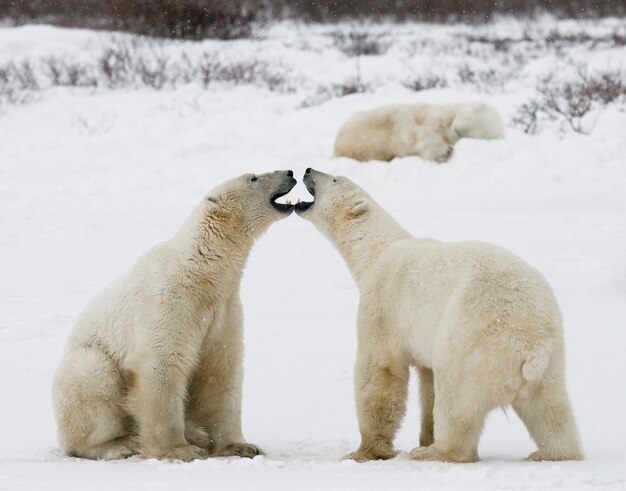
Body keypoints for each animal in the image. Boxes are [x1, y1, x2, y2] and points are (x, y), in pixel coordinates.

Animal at [52, 171, 296, 464]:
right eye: (253, 178)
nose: (290, 173)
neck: (200, 274)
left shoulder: (224, 312)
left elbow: (220, 372)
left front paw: (241, 446)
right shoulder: (168, 304)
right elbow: (163, 367)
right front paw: (181, 450)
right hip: (84, 371)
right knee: (93, 378)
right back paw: (120, 445)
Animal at [294, 168, 584, 462]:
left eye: (334, 179)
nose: (307, 170)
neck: (377, 251)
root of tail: (532, 348)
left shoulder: (383, 302)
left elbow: (380, 368)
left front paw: (364, 451)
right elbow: (427, 380)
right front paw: (423, 436)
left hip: (472, 339)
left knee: (456, 399)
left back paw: (430, 452)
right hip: (550, 364)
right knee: (551, 412)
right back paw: (551, 453)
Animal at [332, 102, 502, 162]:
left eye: (475, 132)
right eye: (468, 118)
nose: (456, 129)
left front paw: (445, 150)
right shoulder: (426, 112)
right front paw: (444, 150)